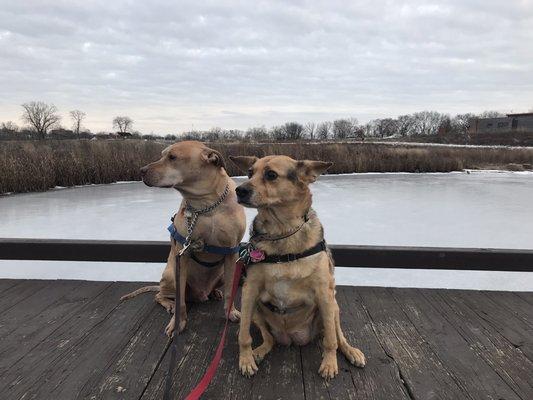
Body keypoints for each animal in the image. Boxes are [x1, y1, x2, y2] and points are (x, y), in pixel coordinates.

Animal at [120, 141, 245, 334]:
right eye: (162, 155)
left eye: (172, 157)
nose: (141, 170)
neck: (207, 203)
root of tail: (200, 293)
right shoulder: (182, 254)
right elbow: (180, 301)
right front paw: (177, 322)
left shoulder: (232, 252)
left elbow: (231, 290)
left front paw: (231, 312)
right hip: (171, 276)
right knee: (160, 295)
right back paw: (169, 304)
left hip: (222, 274)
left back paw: (214, 293)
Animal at [231, 155, 364, 378]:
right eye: (250, 173)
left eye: (271, 174)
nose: (239, 190)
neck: (281, 231)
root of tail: (292, 337)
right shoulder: (249, 291)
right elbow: (243, 335)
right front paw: (246, 359)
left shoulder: (324, 293)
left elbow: (331, 340)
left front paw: (329, 363)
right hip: (256, 310)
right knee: (269, 338)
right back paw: (259, 351)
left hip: (333, 307)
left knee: (337, 336)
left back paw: (351, 351)